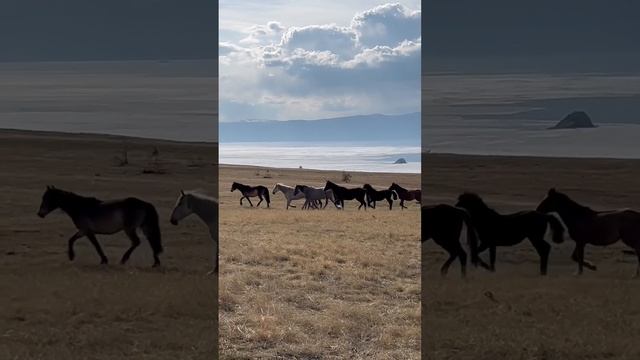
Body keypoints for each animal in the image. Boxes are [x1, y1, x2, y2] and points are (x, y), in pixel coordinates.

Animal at [36, 186, 164, 268]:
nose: (40, 214)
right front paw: (72, 256)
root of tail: (144, 204)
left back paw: (124, 259)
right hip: (144, 228)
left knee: (136, 242)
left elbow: (96, 246)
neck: (80, 207)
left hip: (129, 229)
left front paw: (103, 260)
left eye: (47, 198)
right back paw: (156, 263)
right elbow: (72, 240)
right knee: (152, 242)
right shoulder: (84, 231)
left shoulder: (86, 231)